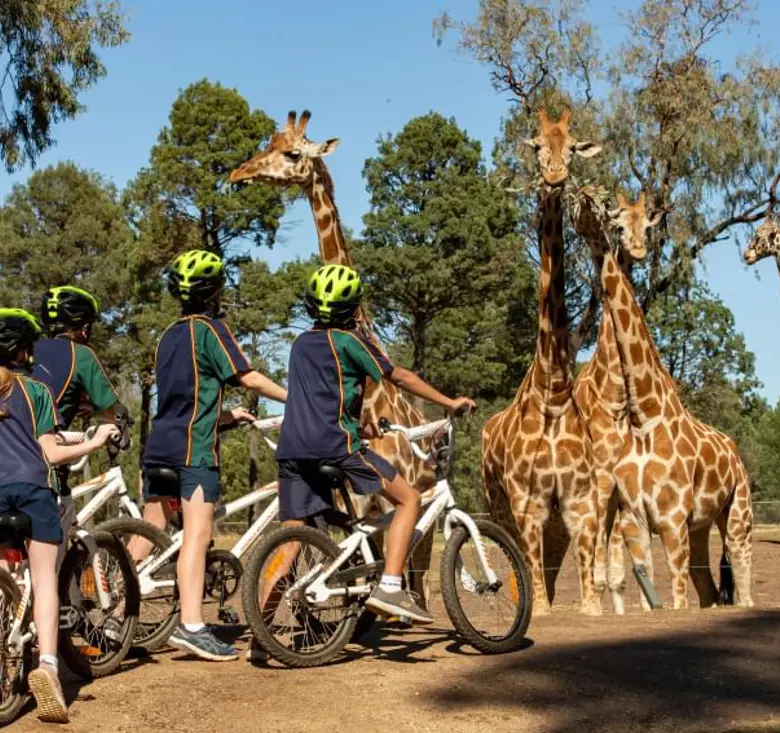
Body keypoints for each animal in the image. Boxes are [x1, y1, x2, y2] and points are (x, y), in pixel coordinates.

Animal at [228, 110, 436, 603]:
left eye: (293, 153)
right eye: (270, 143)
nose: (238, 173)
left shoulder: (379, 502)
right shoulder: (360, 502)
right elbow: (348, 566)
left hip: (421, 510)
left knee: (420, 571)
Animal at [572, 189, 754, 610]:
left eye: (647, 226)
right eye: (619, 224)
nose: (637, 249)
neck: (643, 416)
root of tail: (734, 450)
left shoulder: (671, 519)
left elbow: (673, 592)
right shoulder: (633, 516)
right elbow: (640, 581)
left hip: (736, 513)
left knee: (738, 578)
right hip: (699, 525)